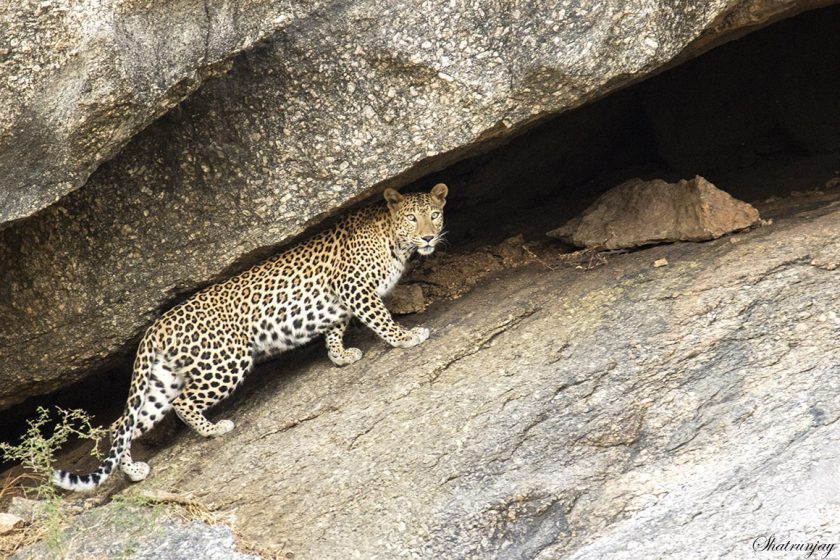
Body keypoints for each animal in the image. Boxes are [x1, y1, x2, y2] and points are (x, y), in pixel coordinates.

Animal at [51, 184, 446, 490]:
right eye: (412, 218)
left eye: (434, 215)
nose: (428, 237)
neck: (394, 238)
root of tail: (153, 328)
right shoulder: (355, 287)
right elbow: (381, 318)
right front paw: (406, 336)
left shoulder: (341, 300)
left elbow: (336, 328)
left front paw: (341, 356)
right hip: (226, 362)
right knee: (183, 404)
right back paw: (214, 430)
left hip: (162, 381)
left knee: (123, 424)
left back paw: (133, 471)